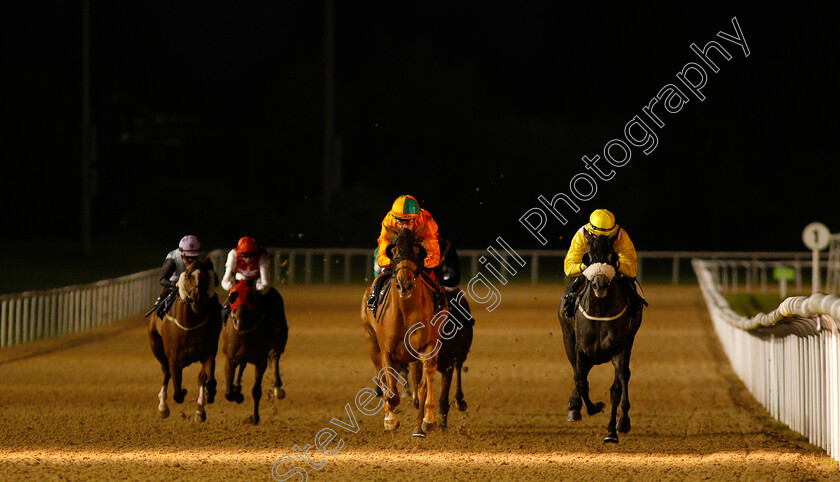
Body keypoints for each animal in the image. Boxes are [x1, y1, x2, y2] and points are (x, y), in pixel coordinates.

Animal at [148, 258, 221, 420]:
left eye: (205, 276)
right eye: (187, 276)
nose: (196, 300)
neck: (189, 325)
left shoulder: (208, 354)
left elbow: (208, 379)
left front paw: (209, 393)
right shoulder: (174, 360)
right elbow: (177, 393)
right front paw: (181, 393)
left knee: (201, 378)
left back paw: (200, 410)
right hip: (156, 346)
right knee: (166, 373)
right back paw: (163, 406)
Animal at [221, 280, 290, 424]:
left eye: (250, 297)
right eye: (233, 296)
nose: (239, 321)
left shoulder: (261, 361)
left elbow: (256, 390)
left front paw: (255, 417)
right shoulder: (229, 359)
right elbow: (228, 393)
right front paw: (237, 394)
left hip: (279, 342)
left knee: (275, 357)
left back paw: (278, 388)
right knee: (242, 366)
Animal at [362, 228, 446, 434]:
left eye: (417, 251)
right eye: (394, 252)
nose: (404, 284)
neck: (406, 311)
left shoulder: (429, 345)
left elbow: (425, 381)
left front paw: (427, 420)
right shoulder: (386, 350)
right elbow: (391, 392)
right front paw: (390, 419)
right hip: (371, 342)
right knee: (383, 377)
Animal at [556, 232, 644, 442]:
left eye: (612, 256)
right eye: (589, 256)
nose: (600, 284)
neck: (601, 311)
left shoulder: (619, 350)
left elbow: (616, 389)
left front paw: (612, 431)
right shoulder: (581, 349)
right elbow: (581, 381)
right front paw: (592, 407)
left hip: (629, 341)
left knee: (624, 376)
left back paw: (623, 420)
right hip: (568, 339)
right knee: (578, 373)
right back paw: (574, 407)